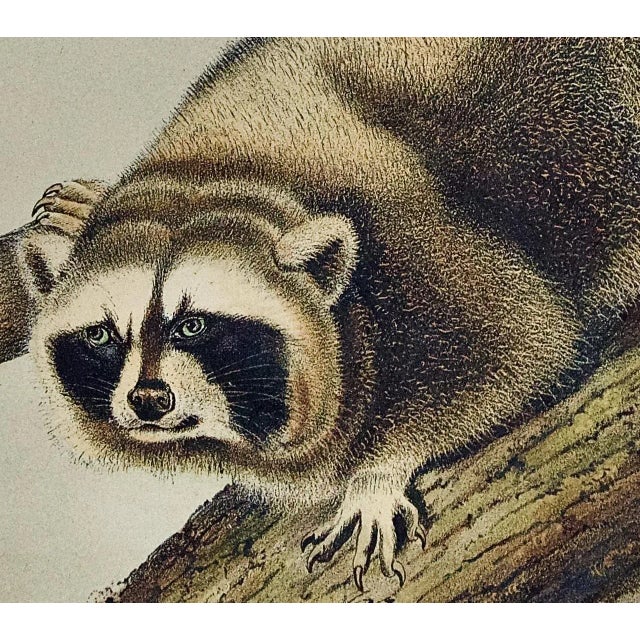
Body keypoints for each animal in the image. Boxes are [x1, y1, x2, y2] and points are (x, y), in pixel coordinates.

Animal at [5, 38, 640, 591]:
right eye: (103, 336)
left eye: (195, 325)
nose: (148, 399)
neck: (221, 173)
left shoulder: (417, 243)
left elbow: (525, 341)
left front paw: (379, 471)